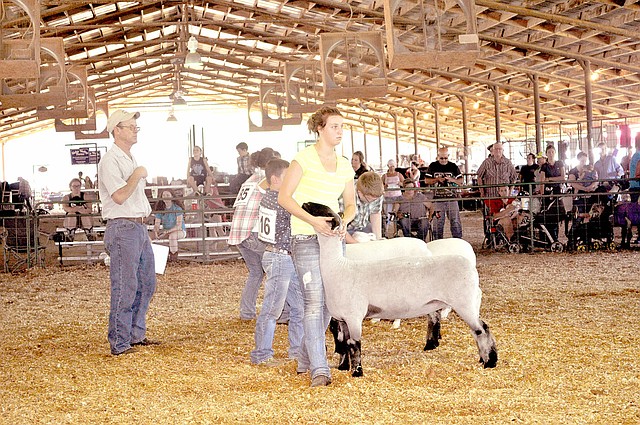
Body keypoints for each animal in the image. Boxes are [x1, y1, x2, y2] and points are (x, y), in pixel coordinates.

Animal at [302, 200, 498, 376]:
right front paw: (343, 367)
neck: (339, 267)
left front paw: (357, 372)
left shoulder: (354, 316)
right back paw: (473, 356)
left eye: (322, 210)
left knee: (482, 329)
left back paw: (490, 362)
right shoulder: (341, 318)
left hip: (464, 302)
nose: (304, 203)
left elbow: (354, 344)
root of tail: (470, 266)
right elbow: (343, 343)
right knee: (461, 326)